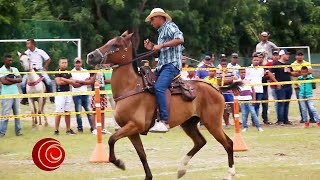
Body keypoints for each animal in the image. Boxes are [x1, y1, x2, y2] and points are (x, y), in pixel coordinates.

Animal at [87, 31, 240, 179]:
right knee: (200, 142)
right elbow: (141, 154)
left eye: (115, 45)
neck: (131, 87)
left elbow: (111, 139)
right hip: (189, 123)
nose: (90, 56)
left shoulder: (134, 125)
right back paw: (181, 169)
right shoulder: (132, 131)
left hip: (212, 123)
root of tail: (216, 88)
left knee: (228, 143)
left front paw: (119, 163)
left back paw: (230, 173)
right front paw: (147, 176)